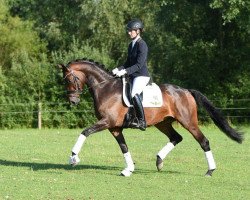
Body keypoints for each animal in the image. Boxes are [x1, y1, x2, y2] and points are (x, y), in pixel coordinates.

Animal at [58, 58, 242, 177]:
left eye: (70, 79)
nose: (73, 101)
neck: (105, 88)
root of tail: (186, 91)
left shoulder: (107, 122)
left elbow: (85, 132)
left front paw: (73, 157)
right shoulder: (114, 127)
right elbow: (124, 147)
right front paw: (128, 169)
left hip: (189, 122)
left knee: (203, 141)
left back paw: (210, 171)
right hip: (163, 123)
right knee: (176, 137)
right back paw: (159, 161)